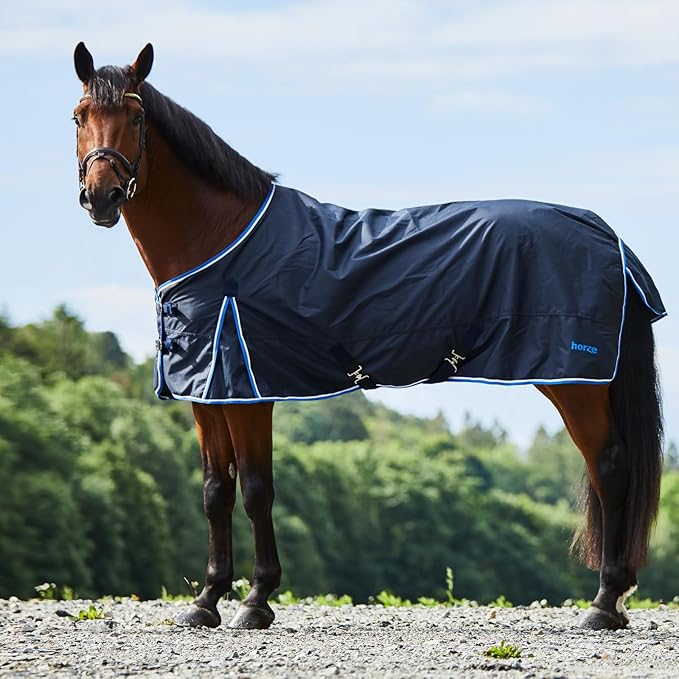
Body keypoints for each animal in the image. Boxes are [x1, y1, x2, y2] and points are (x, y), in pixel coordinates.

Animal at [72, 42, 665, 632]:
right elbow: (216, 492)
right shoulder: (208, 393)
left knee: (610, 468)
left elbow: (258, 490)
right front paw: (206, 600)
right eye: (79, 116)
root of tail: (605, 234)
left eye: (136, 117)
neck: (221, 240)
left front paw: (255, 601)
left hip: (575, 381)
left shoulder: (249, 392)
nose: (101, 197)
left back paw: (605, 603)